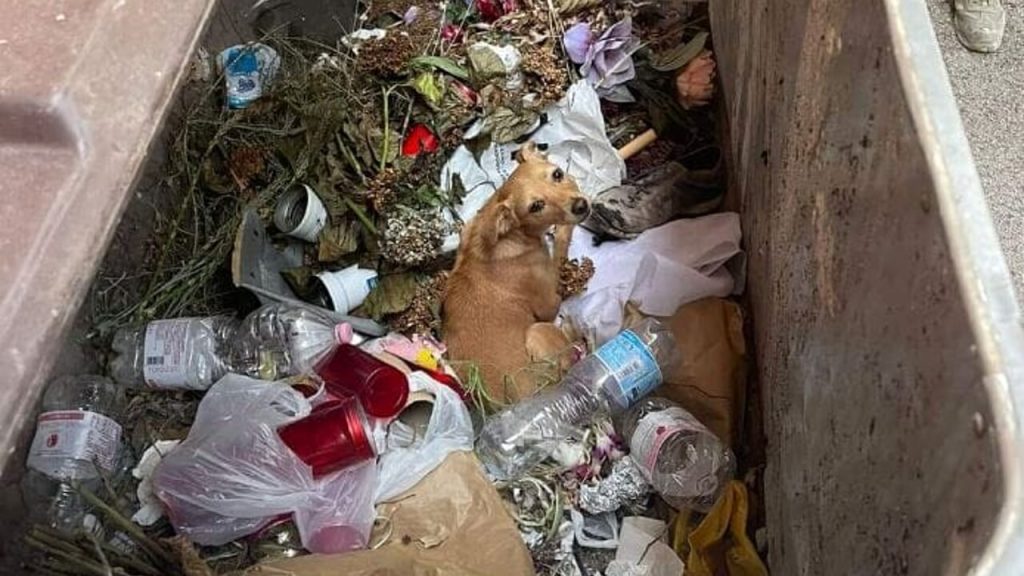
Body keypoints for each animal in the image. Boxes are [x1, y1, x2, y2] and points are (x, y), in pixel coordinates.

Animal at [442, 141, 593, 401]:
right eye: (536, 206)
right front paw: (563, 230)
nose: (581, 206)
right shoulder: (548, 302)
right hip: (538, 332)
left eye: (557, 174)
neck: (511, 234)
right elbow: (559, 249)